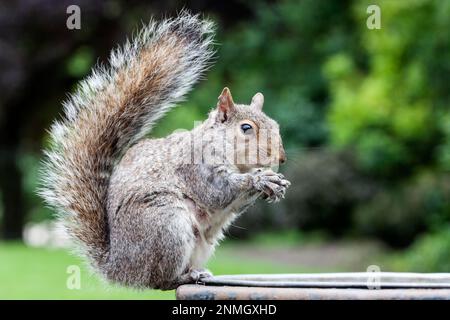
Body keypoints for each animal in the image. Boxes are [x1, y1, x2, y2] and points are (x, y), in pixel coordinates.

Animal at [40, 11, 290, 290]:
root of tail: (120, 268)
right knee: (160, 280)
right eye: (246, 128)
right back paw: (186, 276)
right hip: (167, 224)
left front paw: (274, 183)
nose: (281, 157)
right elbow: (217, 191)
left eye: (275, 124)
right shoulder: (196, 167)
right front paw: (259, 178)